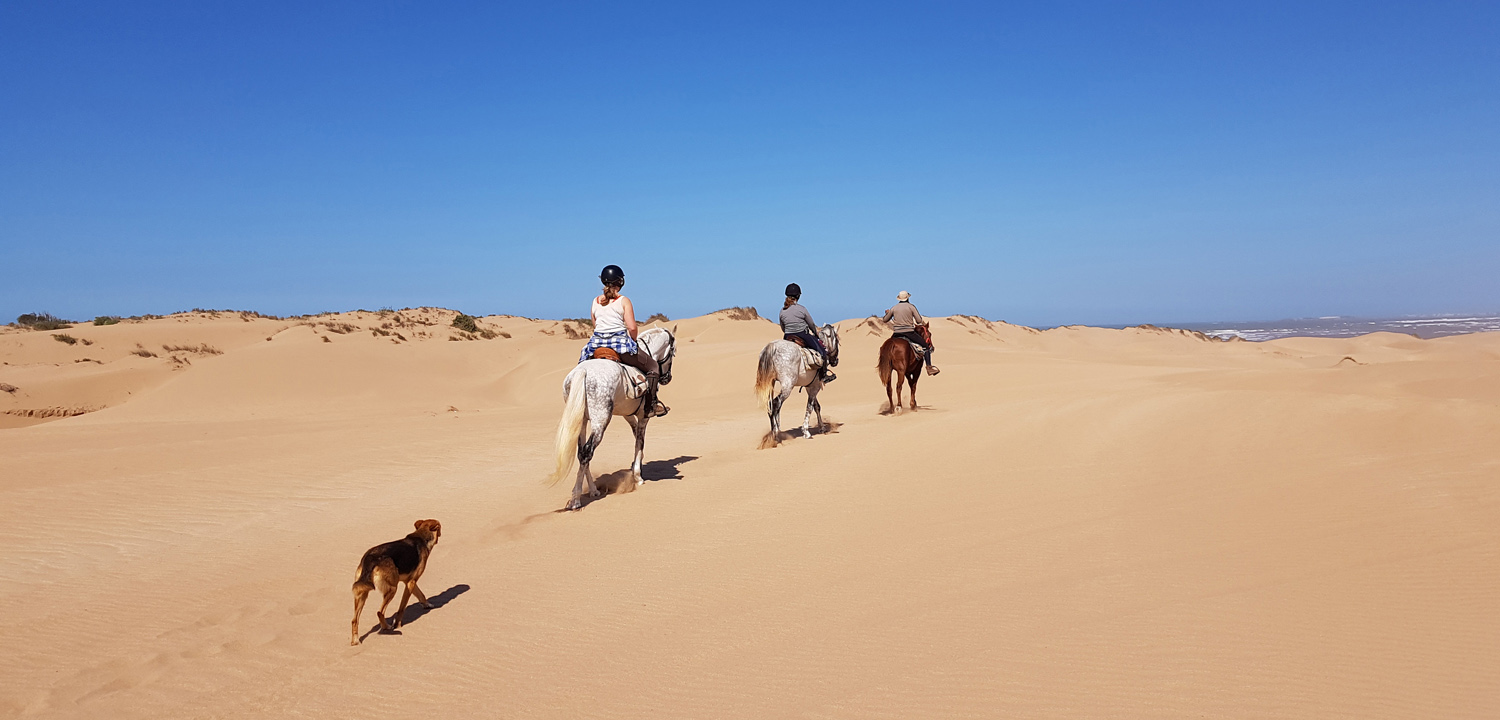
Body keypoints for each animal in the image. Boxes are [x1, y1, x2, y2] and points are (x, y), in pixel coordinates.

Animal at [547, 326, 677, 510]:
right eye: (673, 351)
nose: (667, 378)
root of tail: (582, 371)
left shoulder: (628, 415)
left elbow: (636, 437)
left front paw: (636, 466)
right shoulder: (643, 416)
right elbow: (640, 441)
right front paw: (638, 476)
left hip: (582, 421)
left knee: (582, 453)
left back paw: (593, 490)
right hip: (600, 422)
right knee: (587, 452)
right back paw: (576, 498)